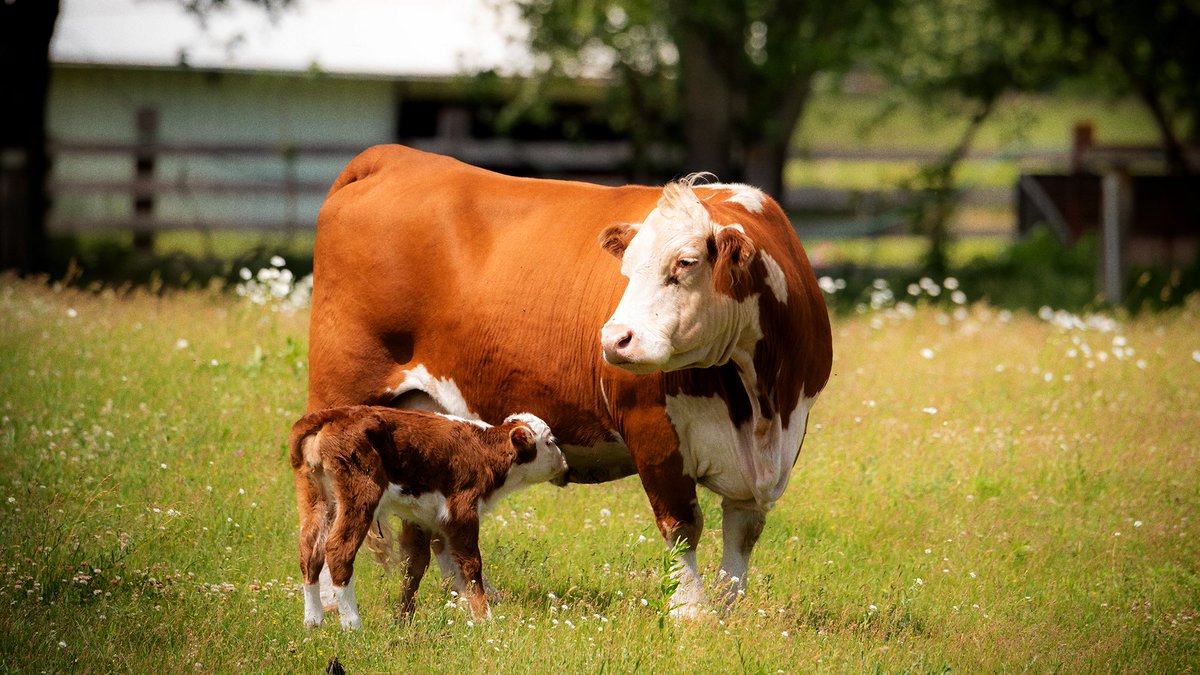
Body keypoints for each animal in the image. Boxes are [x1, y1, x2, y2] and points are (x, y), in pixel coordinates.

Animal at [290, 406, 568, 629]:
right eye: (551, 441)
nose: (565, 462)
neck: (483, 451)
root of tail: (336, 414)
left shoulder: (421, 519)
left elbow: (415, 567)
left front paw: (403, 618)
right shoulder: (462, 512)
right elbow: (470, 564)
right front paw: (483, 617)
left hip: (318, 499)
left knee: (310, 550)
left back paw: (313, 622)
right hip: (360, 496)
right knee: (338, 550)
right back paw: (353, 626)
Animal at [307, 144, 832, 617]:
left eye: (686, 262)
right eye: (626, 269)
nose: (614, 339)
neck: (759, 403)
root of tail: (394, 156)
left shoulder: (777, 447)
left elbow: (742, 534)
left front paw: (727, 612)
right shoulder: (653, 431)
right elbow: (682, 525)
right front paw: (691, 613)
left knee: (433, 529)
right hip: (341, 401)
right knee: (326, 513)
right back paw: (333, 603)